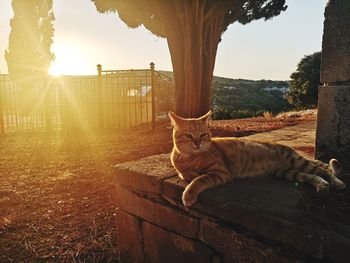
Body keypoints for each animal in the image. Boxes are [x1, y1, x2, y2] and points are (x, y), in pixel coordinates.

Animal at [168, 110, 346, 207]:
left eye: (203, 135)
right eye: (189, 136)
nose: (198, 143)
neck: (191, 158)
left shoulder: (220, 173)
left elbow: (198, 180)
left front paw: (188, 194)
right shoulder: (184, 171)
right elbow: (187, 175)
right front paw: (191, 175)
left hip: (296, 161)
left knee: (325, 171)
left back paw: (337, 183)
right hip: (286, 172)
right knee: (312, 175)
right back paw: (322, 186)